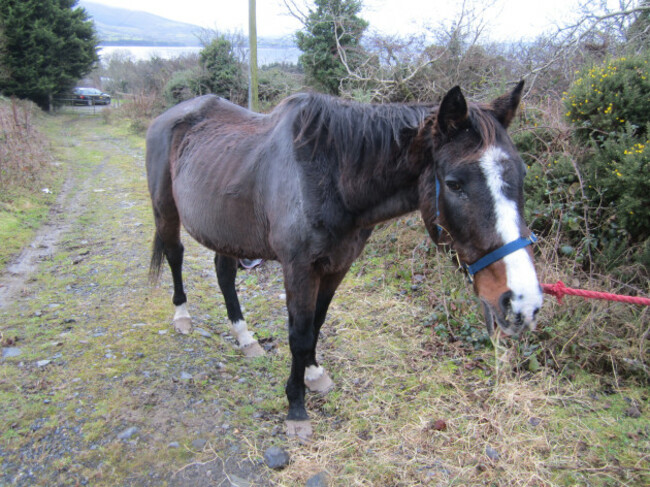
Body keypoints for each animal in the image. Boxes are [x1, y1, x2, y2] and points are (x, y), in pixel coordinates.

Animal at [146, 82, 540, 440]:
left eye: (522, 176)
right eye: (456, 184)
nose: (523, 302)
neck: (330, 176)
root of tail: (169, 116)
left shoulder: (337, 265)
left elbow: (316, 325)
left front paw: (313, 373)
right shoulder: (299, 268)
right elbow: (299, 334)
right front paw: (296, 409)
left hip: (227, 230)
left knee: (224, 274)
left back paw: (245, 338)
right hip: (166, 211)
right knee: (175, 256)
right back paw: (182, 316)